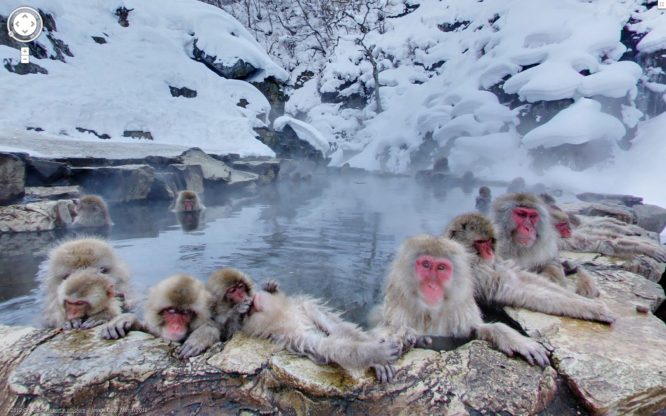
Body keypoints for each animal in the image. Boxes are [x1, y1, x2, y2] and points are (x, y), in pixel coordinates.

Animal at [242, 288, 401, 383]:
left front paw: (379, 359)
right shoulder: (298, 336)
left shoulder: (306, 309)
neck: (282, 315)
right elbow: (329, 347)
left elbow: (338, 330)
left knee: (337, 327)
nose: (254, 299)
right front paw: (378, 354)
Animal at [376, 234, 550, 368]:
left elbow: (474, 331)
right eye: (426, 264)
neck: (430, 312)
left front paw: (516, 340)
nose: (431, 286)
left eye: (441, 268)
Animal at [444, 213, 615, 323]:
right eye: (480, 242)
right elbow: (517, 290)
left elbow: (523, 277)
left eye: (490, 241)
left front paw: (583, 300)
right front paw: (591, 309)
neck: (474, 259)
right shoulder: (475, 273)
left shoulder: (495, 262)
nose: (489, 252)